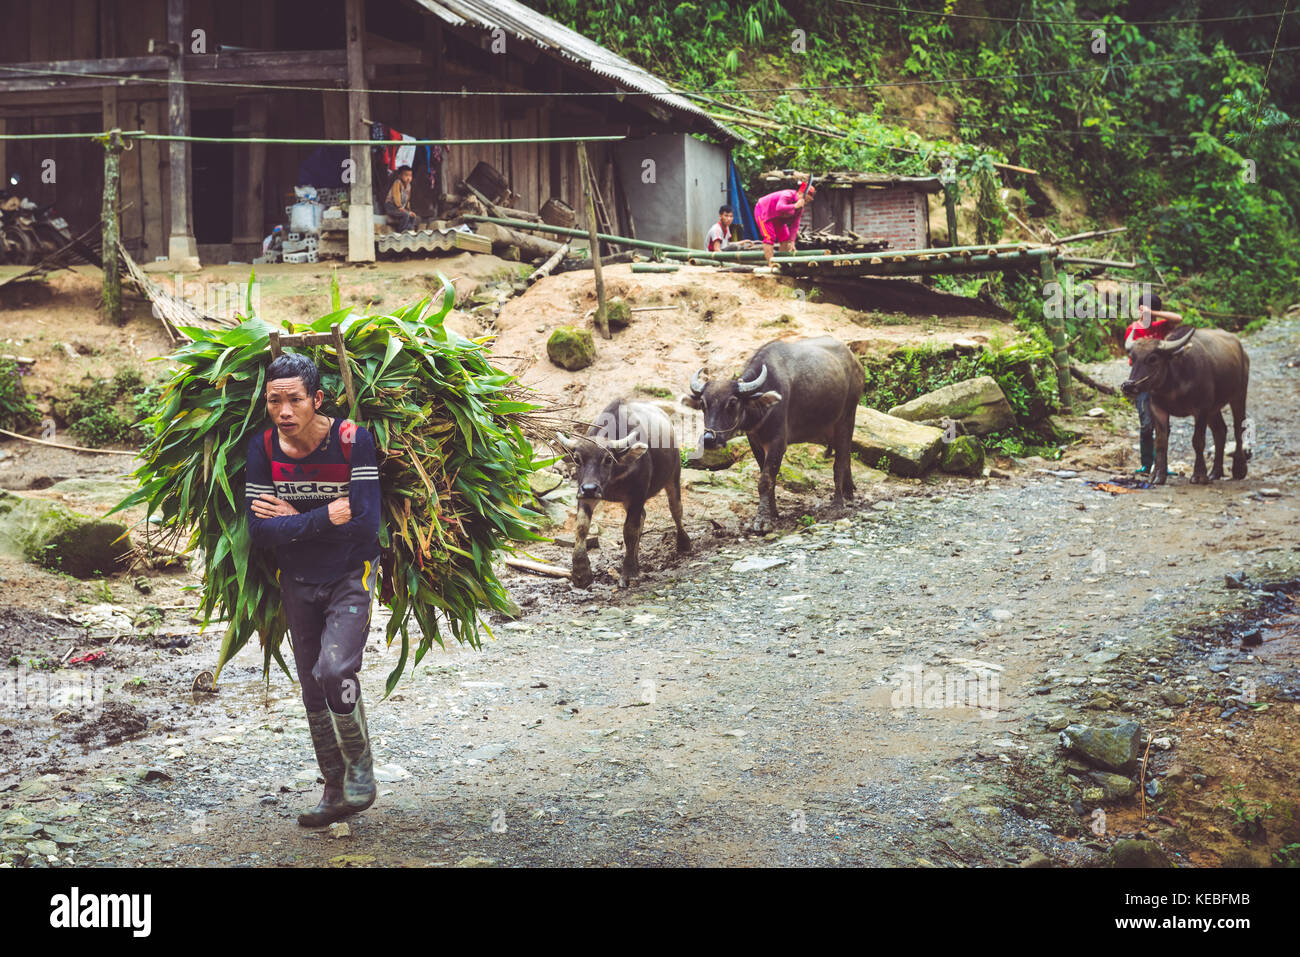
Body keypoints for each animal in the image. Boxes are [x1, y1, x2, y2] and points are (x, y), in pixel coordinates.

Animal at [553, 397, 691, 590]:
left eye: (608, 459)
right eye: (577, 459)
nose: (590, 488)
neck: (614, 477)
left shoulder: (638, 495)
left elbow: (630, 531)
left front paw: (629, 573)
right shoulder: (585, 494)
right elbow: (581, 526)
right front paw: (581, 573)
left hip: (674, 475)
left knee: (676, 509)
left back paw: (684, 543)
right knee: (643, 516)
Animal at [681, 335, 863, 530]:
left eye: (732, 402)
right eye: (703, 404)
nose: (709, 439)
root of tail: (856, 362)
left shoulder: (778, 442)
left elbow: (765, 481)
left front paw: (762, 520)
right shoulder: (755, 442)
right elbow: (770, 479)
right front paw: (774, 512)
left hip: (847, 417)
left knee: (840, 460)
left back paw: (838, 502)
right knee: (846, 453)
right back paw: (849, 492)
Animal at [1118, 328, 1248, 486]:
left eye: (1152, 358)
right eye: (1132, 358)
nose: (1128, 386)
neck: (1173, 384)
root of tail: (1241, 350)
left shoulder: (1201, 410)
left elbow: (1198, 441)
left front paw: (1199, 475)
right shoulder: (1157, 409)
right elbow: (1160, 442)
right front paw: (1157, 476)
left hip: (1239, 395)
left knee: (1239, 429)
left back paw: (1239, 469)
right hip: (1214, 408)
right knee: (1220, 431)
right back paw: (1215, 473)